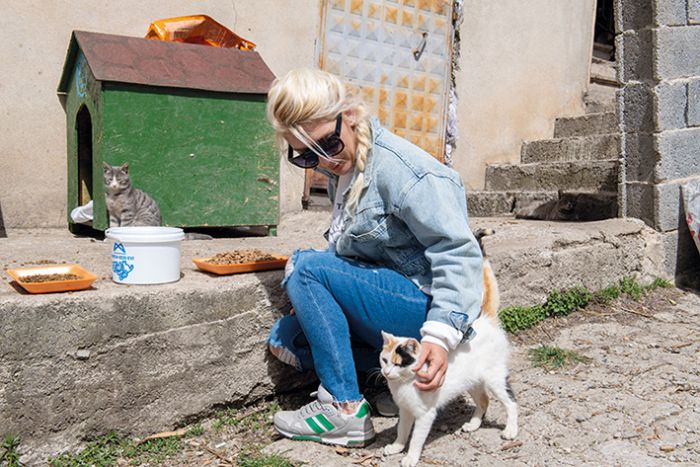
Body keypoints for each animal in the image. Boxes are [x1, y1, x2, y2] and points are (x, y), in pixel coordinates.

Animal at [380, 250, 516, 467]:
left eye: (399, 363)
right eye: (385, 361)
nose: (386, 372)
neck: (403, 385)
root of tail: (485, 320)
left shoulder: (425, 415)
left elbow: (416, 439)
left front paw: (410, 457)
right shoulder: (405, 411)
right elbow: (402, 431)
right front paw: (396, 447)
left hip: (495, 378)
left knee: (511, 403)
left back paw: (511, 430)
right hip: (472, 382)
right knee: (484, 400)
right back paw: (473, 425)